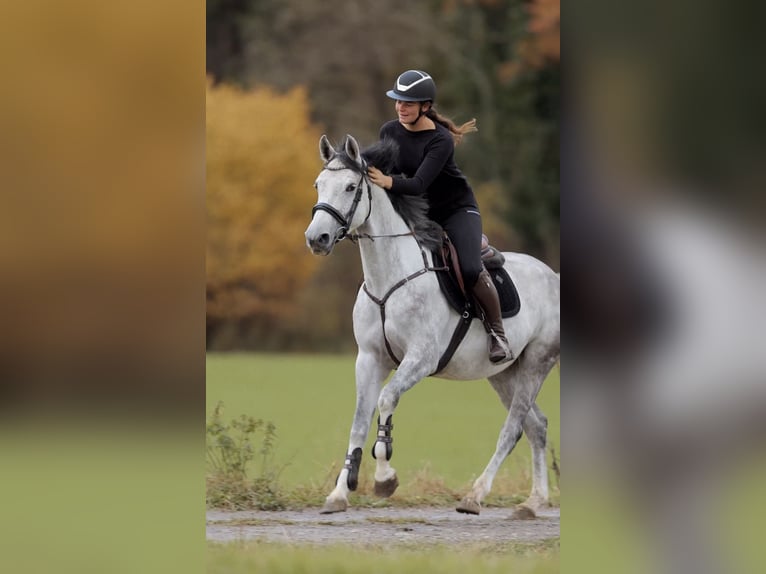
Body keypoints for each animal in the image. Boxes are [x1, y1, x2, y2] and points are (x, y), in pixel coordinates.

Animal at [304, 134, 560, 516]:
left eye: (351, 187)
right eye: (319, 184)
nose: (316, 239)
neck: (389, 279)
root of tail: (554, 276)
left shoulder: (421, 359)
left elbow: (386, 400)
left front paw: (384, 479)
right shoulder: (368, 359)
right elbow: (359, 420)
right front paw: (339, 493)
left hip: (535, 364)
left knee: (513, 428)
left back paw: (475, 496)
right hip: (503, 373)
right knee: (537, 426)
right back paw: (533, 501)